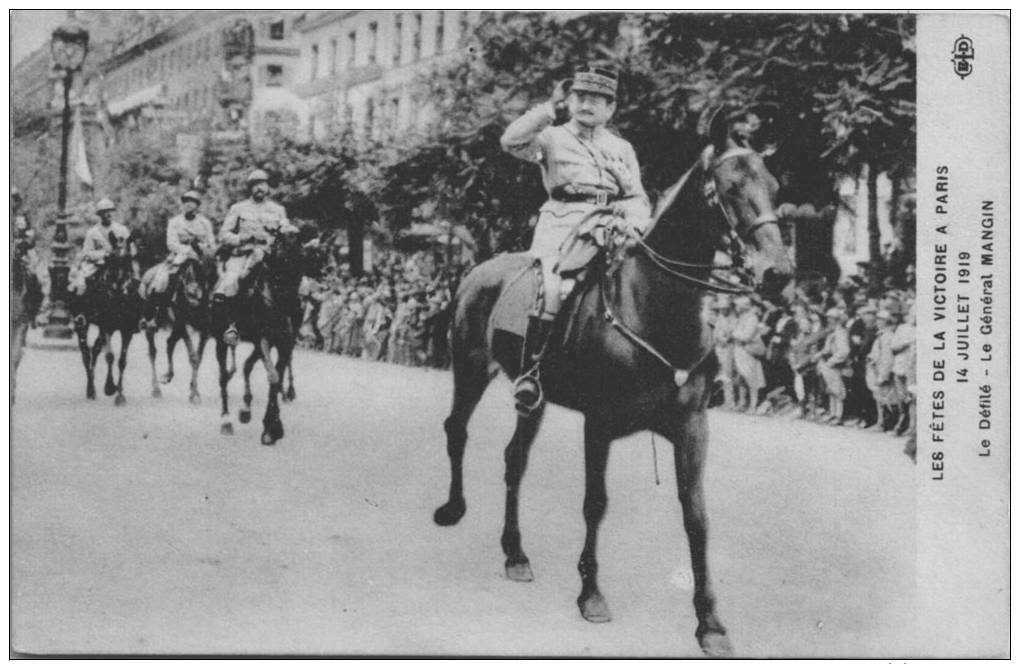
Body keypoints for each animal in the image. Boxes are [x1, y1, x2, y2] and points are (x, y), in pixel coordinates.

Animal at [70, 228, 143, 405]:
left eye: (129, 258)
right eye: (112, 258)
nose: (121, 287)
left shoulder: (127, 330)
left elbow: (122, 361)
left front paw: (120, 395)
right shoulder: (107, 326)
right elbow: (110, 356)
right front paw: (110, 387)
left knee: (96, 349)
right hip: (82, 325)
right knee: (86, 353)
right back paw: (91, 390)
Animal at [141, 247, 217, 405]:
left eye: (211, 270)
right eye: (196, 267)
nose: (194, 295)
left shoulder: (204, 328)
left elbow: (198, 358)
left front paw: (194, 392)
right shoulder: (183, 323)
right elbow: (193, 356)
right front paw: (194, 394)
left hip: (175, 325)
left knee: (169, 342)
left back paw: (167, 376)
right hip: (150, 317)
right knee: (152, 350)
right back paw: (156, 389)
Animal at [212, 232, 308, 446]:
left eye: (301, 260)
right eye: (282, 260)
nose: (296, 305)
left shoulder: (284, 343)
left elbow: (276, 377)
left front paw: (272, 427)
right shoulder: (264, 339)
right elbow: (273, 376)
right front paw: (272, 428)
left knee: (245, 366)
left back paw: (245, 409)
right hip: (220, 341)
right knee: (223, 377)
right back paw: (225, 421)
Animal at [434, 110, 791, 660]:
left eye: (773, 186)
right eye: (730, 187)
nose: (778, 272)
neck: (653, 308)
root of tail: (479, 269)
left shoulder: (692, 428)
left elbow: (697, 517)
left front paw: (710, 623)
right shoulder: (598, 424)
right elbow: (595, 503)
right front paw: (591, 594)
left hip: (532, 399)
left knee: (515, 460)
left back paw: (515, 553)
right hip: (470, 368)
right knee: (457, 429)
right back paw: (454, 509)